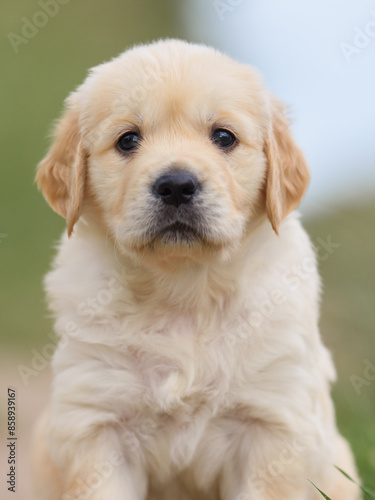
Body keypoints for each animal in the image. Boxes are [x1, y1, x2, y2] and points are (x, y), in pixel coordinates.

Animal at [32, 40, 362, 500]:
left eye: (223, 137)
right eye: (127, 140)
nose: (176, 185)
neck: (184, 290)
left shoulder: (273, 424)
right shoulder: (97, 422)